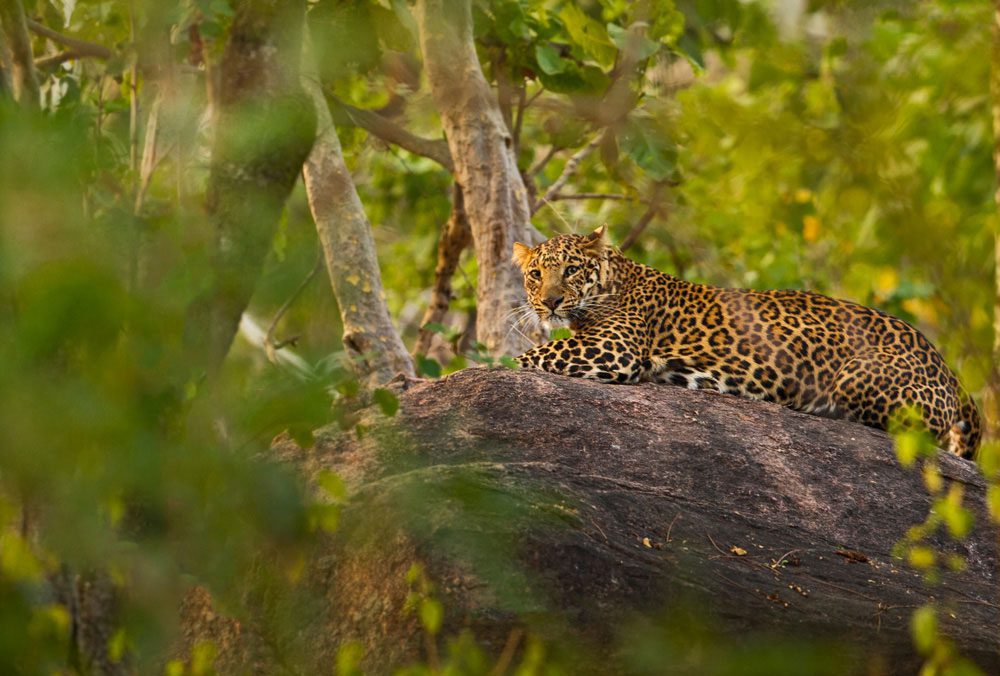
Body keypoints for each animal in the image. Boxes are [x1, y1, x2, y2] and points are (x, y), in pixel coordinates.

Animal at [512, 225, 982, 459]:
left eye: (572, 269)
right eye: (536, 274)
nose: (550, 302)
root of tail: (947, 368)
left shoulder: (613, 347)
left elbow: (527, 357)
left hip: (858, 377)